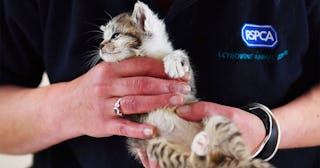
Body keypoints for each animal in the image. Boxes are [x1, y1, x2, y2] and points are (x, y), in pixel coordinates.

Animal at [99, 1, 274, 168]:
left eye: (115, 35)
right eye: (103, 37)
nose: (100, 46)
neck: (150, 54)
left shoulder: (188, 86)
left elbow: (181, 59)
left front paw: (174, 61)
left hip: (217, 120)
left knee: (239, 154)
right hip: (157, 146)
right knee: (192, 161)